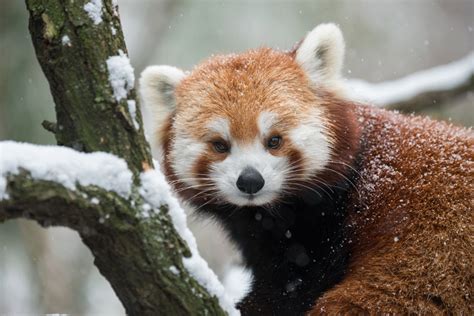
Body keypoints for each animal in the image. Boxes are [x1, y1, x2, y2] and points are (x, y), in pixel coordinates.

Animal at [140, 23, 474, 314]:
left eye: (274, 140)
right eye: (220, 145)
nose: (250, 181)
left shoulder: (324, 232)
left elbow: (293, 286)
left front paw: (250, 306)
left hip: (432, 261)